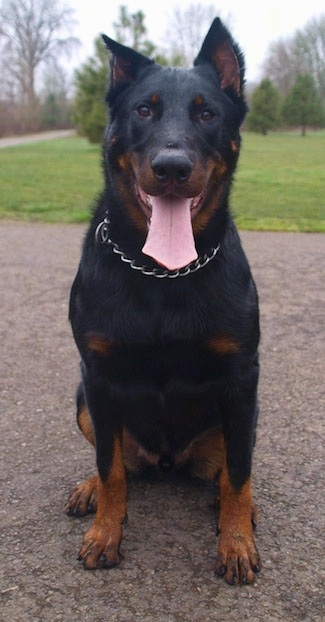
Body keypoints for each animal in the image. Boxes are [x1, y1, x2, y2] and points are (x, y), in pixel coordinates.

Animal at [65, 17, 260, 588]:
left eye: (207, 113)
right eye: (144, 110)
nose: (171, 167)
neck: (162, 273)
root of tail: (171, 460)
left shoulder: (241, 377)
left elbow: (239, 475)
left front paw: (236, 541)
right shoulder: (97, 377)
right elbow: (110, 468)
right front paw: (106, 533)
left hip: (245, 413)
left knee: (231, 469)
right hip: (83, 402)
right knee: (118, 461)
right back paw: (91, 490)